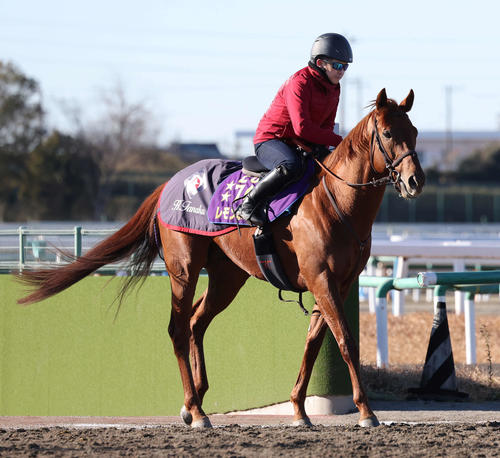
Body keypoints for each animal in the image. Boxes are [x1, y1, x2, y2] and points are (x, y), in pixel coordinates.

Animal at [17, 88, 424, 426]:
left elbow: (313, 343)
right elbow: (345, 342)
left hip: (228, 277)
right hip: (183, 269)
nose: (414, 181)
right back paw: (197, 412)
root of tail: (168, 183)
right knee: (178, 328)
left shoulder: (337, 283)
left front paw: (298, 409)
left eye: (416, 131)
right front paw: (366, 411)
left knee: (197, 322)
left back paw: (194, 402)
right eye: (388, 134)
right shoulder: (321, 279)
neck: (336, 200)